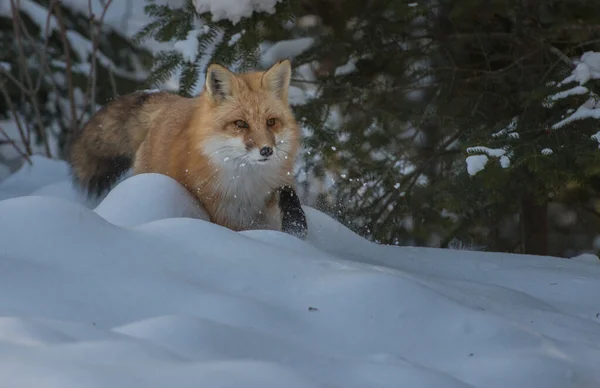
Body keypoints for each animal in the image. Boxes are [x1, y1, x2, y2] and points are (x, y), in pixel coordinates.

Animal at [68, 59, 308, 238]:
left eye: (271, 122)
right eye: (240, 124)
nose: (267, 151)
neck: (248, 183)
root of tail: (170, 102)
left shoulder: (273, 188)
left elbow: (288, 195)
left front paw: (297, 224)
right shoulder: (225, 216)